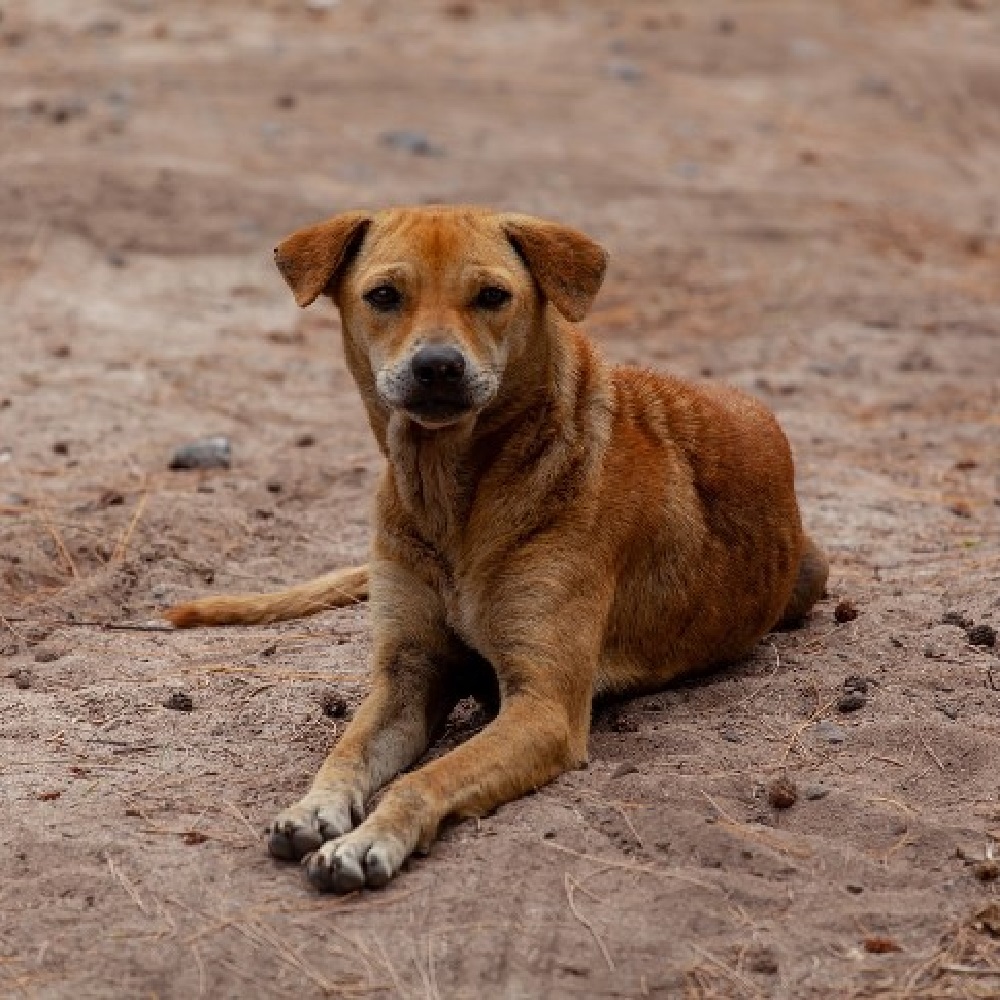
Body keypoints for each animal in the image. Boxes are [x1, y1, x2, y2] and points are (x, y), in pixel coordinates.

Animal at [168, 207, 828, 896]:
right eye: (384, 295)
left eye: (492, 296)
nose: (437, 366)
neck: (450, 496)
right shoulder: (407, 675)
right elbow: (345, 751)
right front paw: (314, 807)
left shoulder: (544, 708)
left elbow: (422, 779)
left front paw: (369, 839)